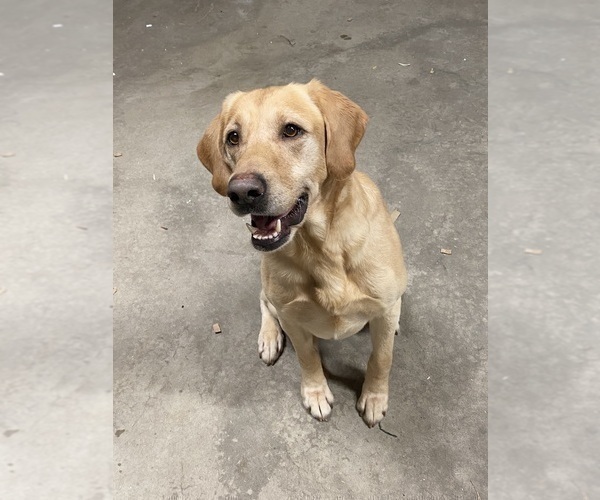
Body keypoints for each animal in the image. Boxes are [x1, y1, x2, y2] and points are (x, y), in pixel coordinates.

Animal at [197, 80, 408, 428]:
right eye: (233, 137)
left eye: (291, 130)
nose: (241, 191)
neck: (321, 247)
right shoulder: (292, 317)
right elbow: (308, 357)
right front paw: (315, 393)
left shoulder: (384, 309)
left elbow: (382, 357)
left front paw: (375, 397)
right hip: (270, 289)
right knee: (264, 300)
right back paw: (269, 337)